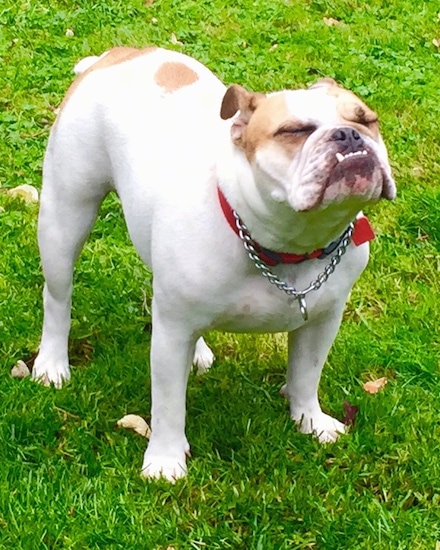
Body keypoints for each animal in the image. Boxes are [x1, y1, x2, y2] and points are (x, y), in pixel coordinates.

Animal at [31, 46, 396, 484]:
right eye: (294, 131)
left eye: (367, 120)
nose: (349, 135)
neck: (291, 244)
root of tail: (120, 53)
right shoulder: (171, 335)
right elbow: (168, 404)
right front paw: (165, 461)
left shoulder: (323, 320)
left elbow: (306, 374)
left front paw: (310, 421)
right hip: (66, 215)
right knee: (58, 297)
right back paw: (52, 363)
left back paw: (200, 352)